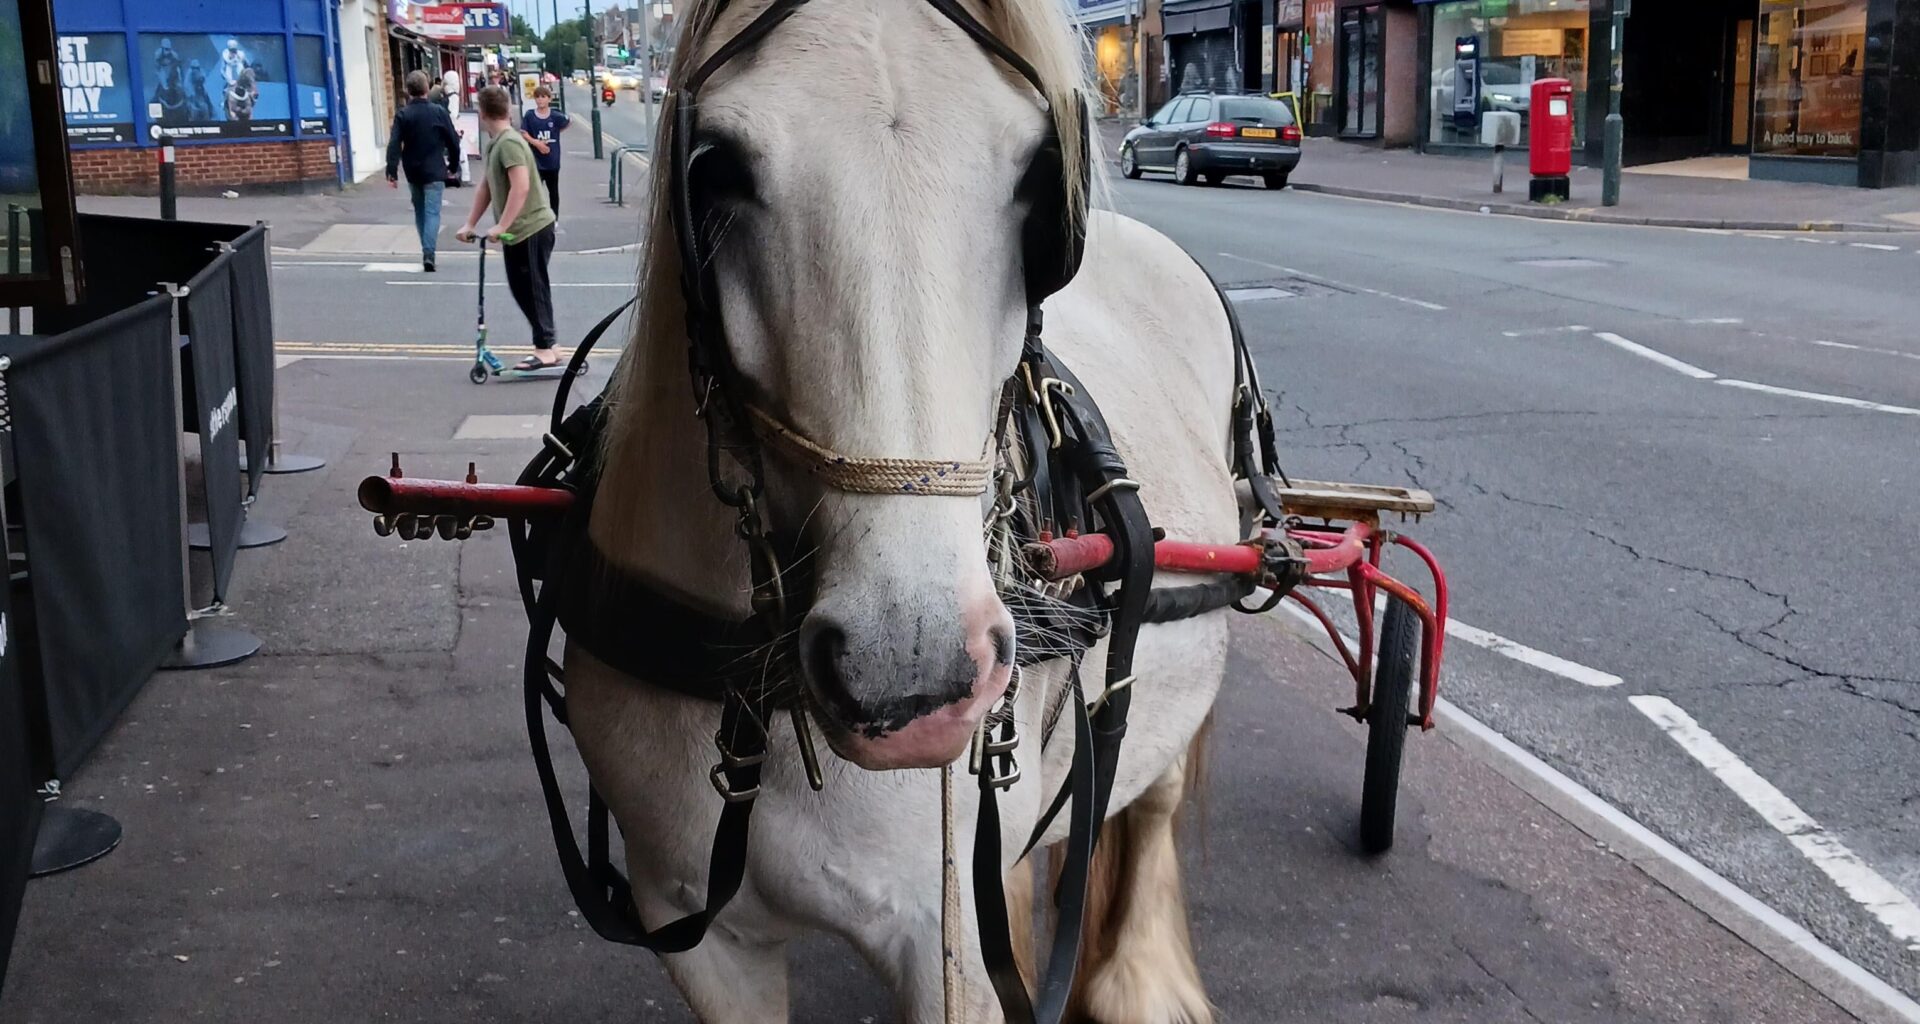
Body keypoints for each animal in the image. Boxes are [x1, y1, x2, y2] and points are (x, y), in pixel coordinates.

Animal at [560, 0, 1236, 1014]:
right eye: (714, 167)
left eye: (1040, 178)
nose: (907, 670)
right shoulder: (695, 929)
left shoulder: (945, 942)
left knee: (1152, 793)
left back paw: (1139, 983)